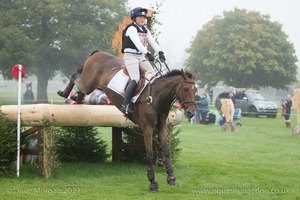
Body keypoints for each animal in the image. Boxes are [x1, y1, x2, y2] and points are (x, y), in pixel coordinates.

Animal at [57, 50, 196, 191]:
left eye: (195, 90)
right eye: (185, 89)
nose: (191, 112)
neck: (156, 96)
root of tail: (98, 53)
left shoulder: (162, 126)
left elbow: (166, 151)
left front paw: (171, 178)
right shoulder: (147, 128)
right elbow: (150, 154)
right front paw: (152, 183)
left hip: (91, 85)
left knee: (81, 87)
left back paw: (77, 98)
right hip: (89, 82)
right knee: (76, 76)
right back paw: (65, 93)